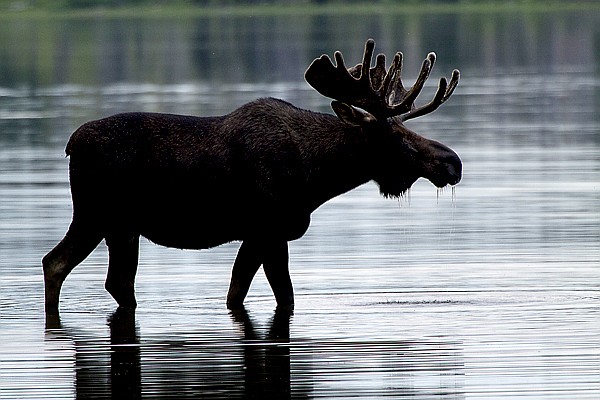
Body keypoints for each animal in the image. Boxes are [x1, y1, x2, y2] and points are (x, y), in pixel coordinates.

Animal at [43, 39, 464, 312]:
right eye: (397, 136)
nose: (453, 162)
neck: (317, 176)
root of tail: (70, 145)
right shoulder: (268, 230)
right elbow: (271, 295)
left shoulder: (263, 235)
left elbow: (248, 293)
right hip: (95, 215)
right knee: (55, 263)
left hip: (122, 228)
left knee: (114, 281)